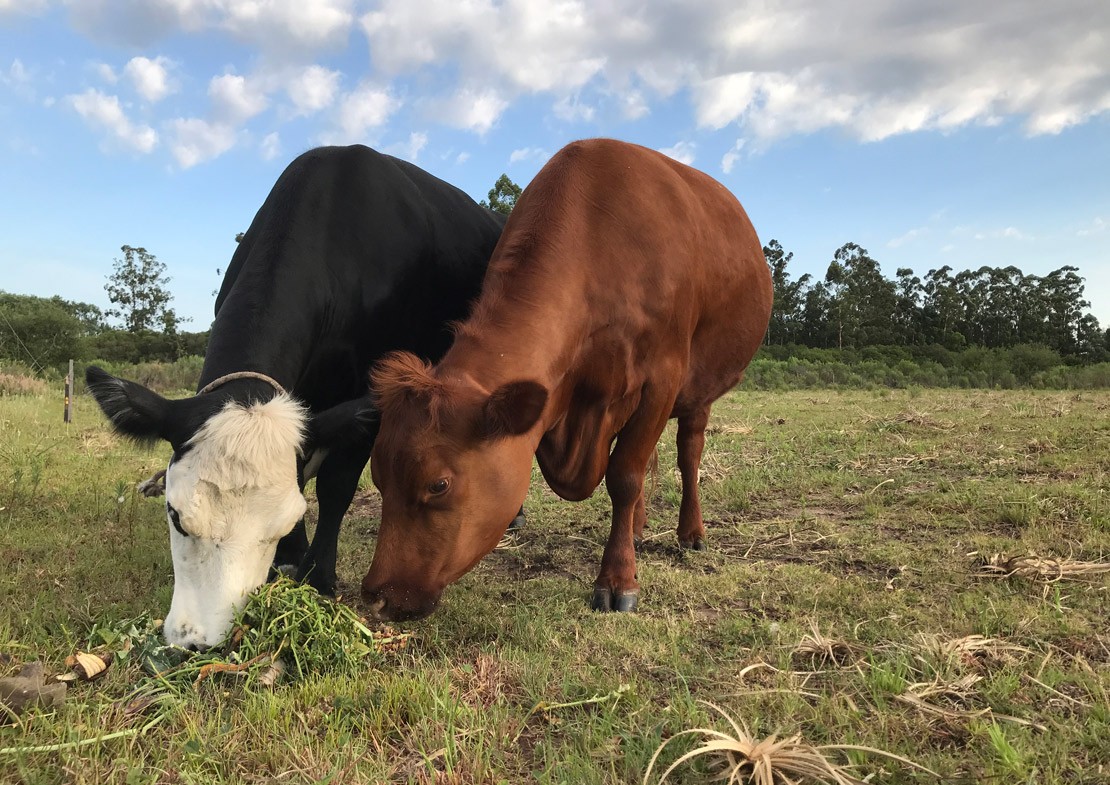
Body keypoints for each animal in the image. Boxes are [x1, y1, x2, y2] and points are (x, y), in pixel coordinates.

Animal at [364, 139, 772, 621]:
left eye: (438, 485)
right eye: (377, 476)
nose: (376, 595)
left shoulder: (662, 380)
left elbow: (625, 476)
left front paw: (618, 579)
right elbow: (629, 468)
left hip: (700, 387)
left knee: (688, 452)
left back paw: (690, 532)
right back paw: (638, 527)